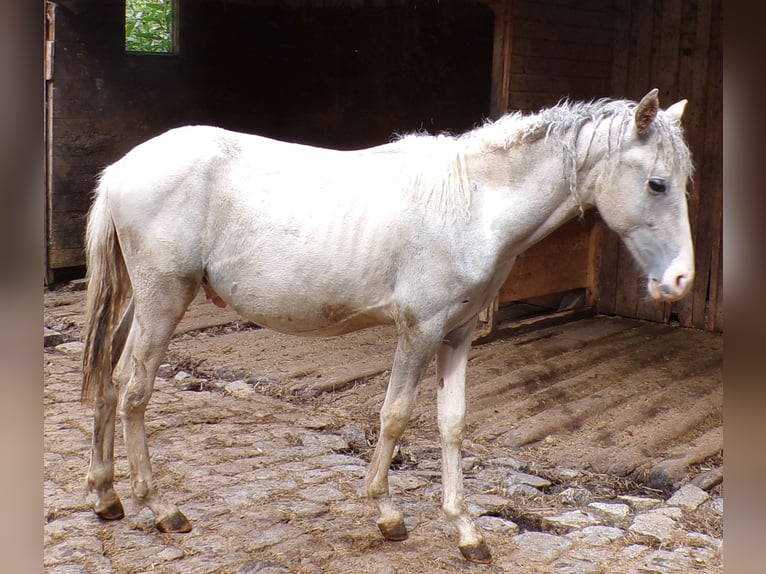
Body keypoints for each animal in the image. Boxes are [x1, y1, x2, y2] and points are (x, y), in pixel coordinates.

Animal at [81, 89, 693, 563]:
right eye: (657, 184)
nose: (681, 279)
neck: (475, 203)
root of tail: (121, 170)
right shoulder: (419, 331)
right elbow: (395, 416)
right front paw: (387, 511)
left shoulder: (457, 335)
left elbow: (452, 423)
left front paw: (466, 530)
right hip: (164, 300)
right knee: (135, 390)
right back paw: (161, 507)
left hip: (140, 302)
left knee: (110, 381)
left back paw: (108, 497)